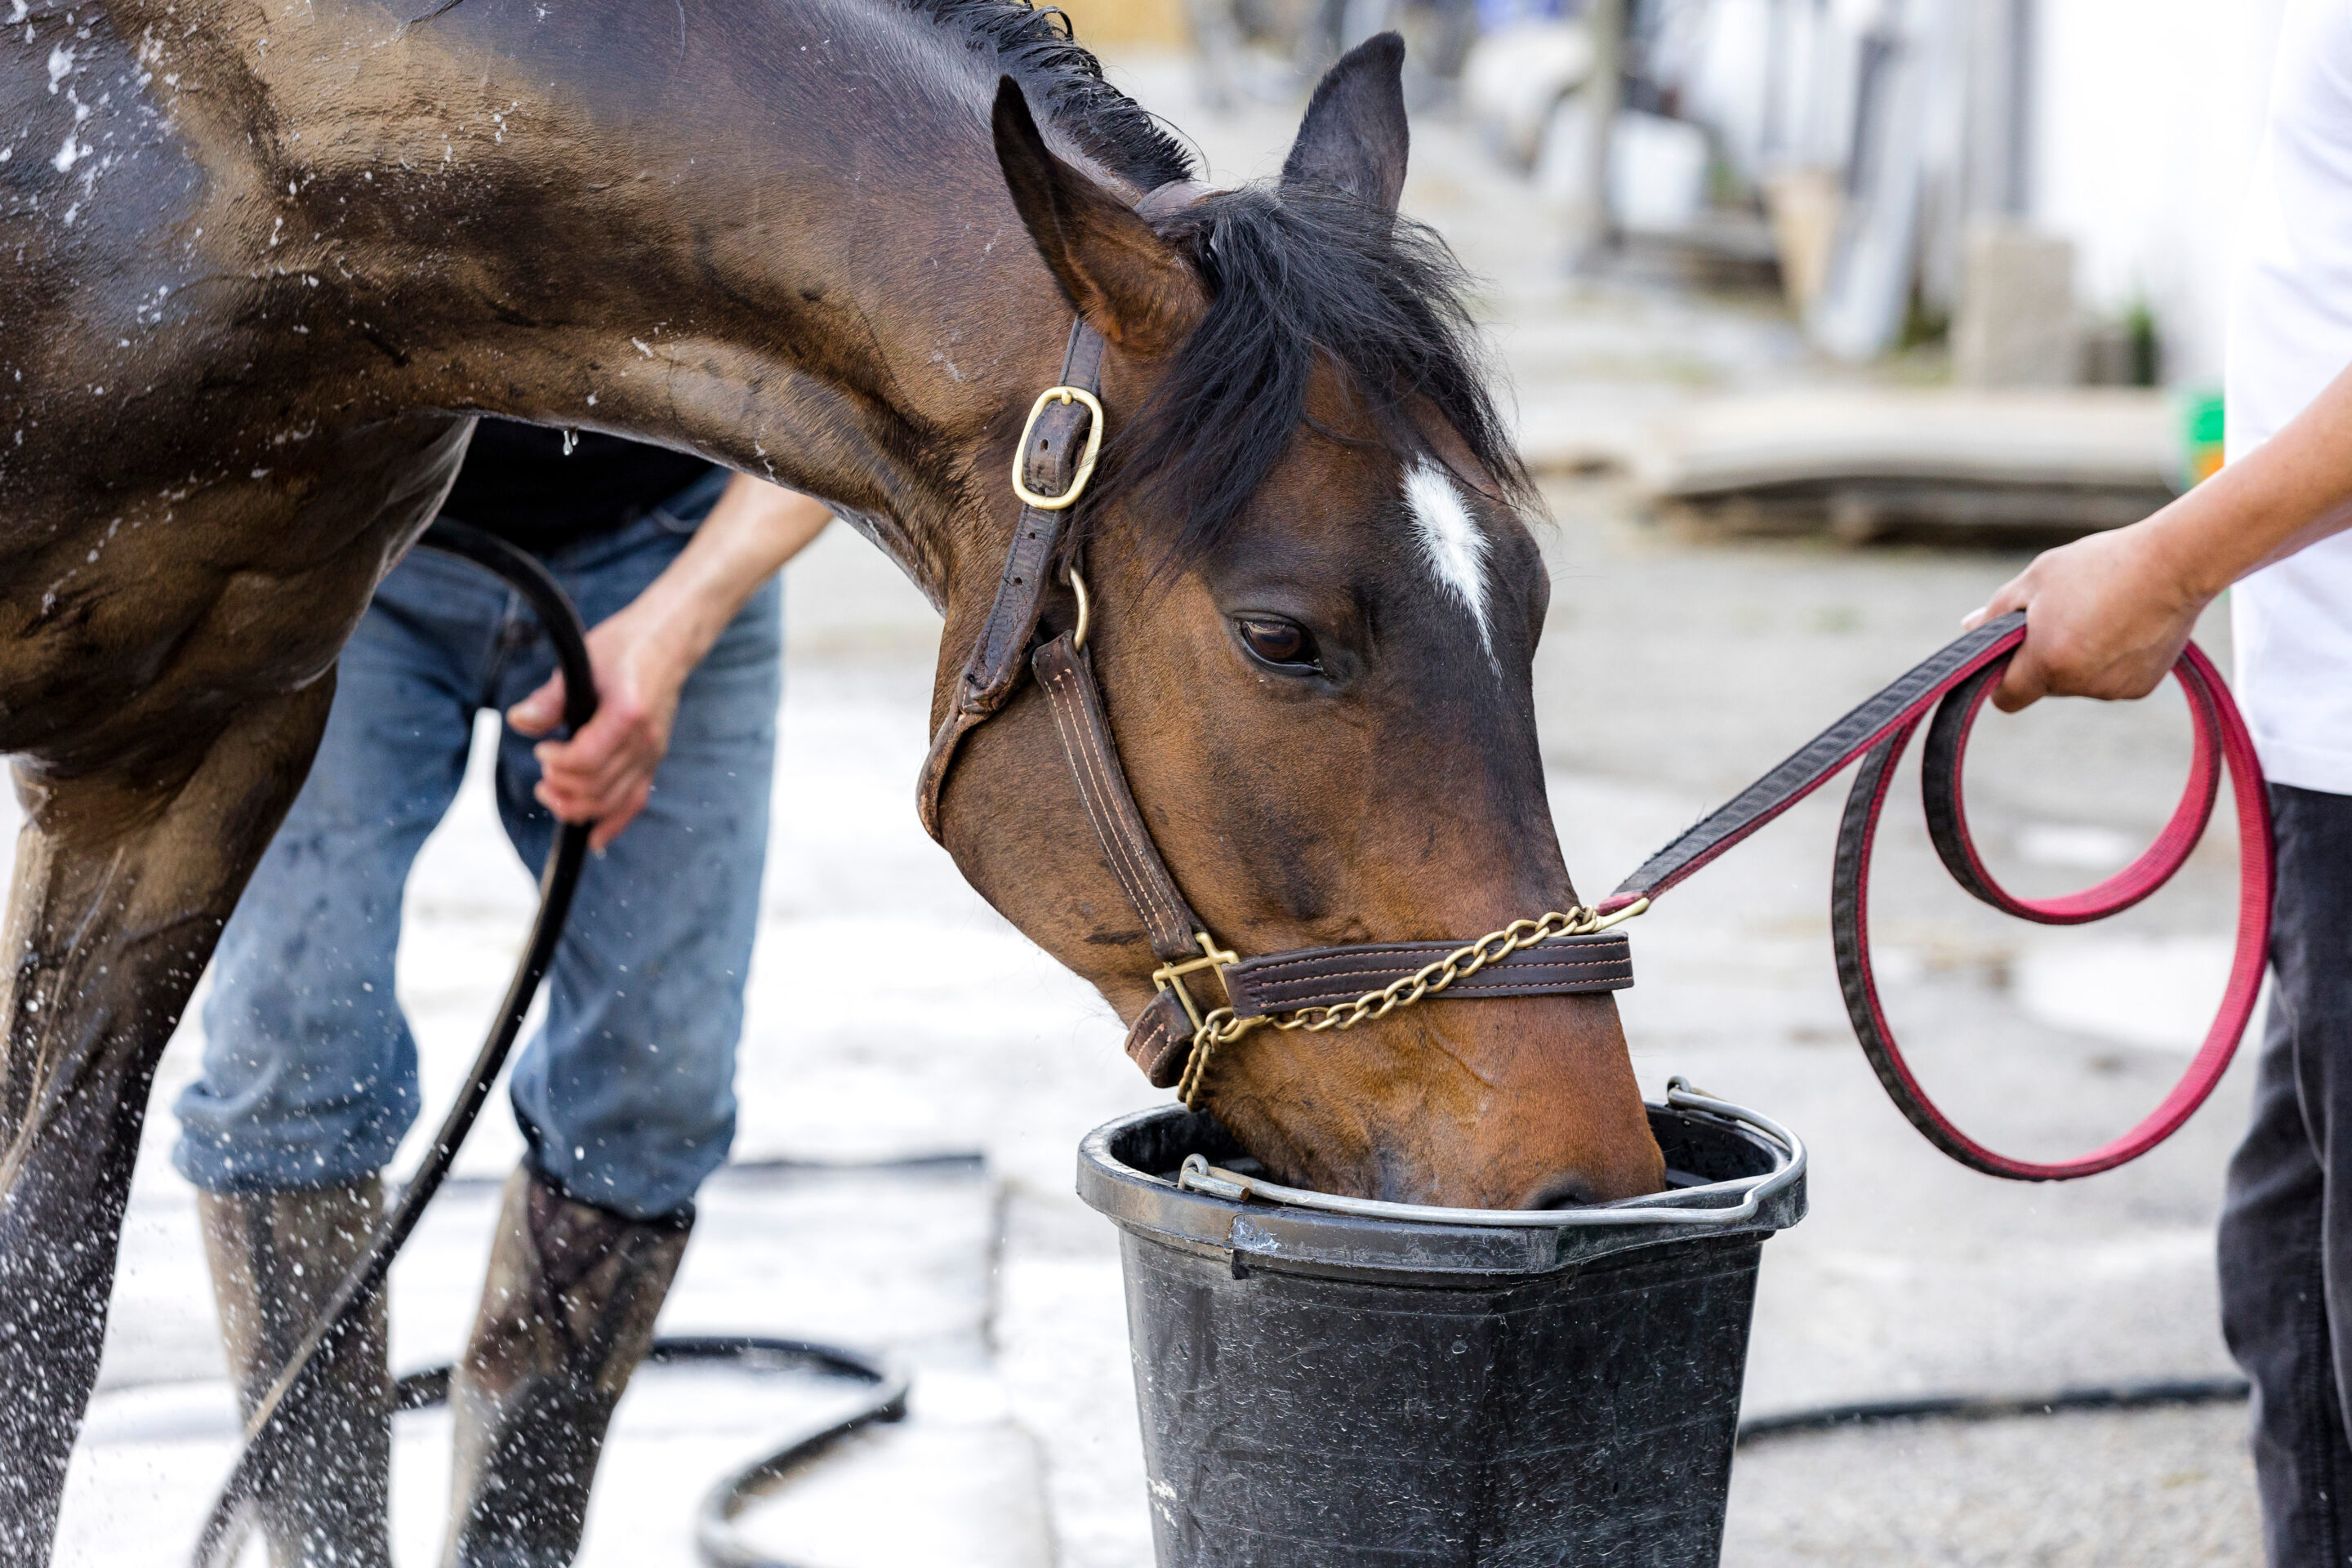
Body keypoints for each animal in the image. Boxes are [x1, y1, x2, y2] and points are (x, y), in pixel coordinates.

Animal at [0, 1, 1664, 1553]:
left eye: (1525, 596)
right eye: (1283, 635)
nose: (1584, 1179)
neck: (207, 175)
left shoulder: (195, 751)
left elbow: (46, 1296)